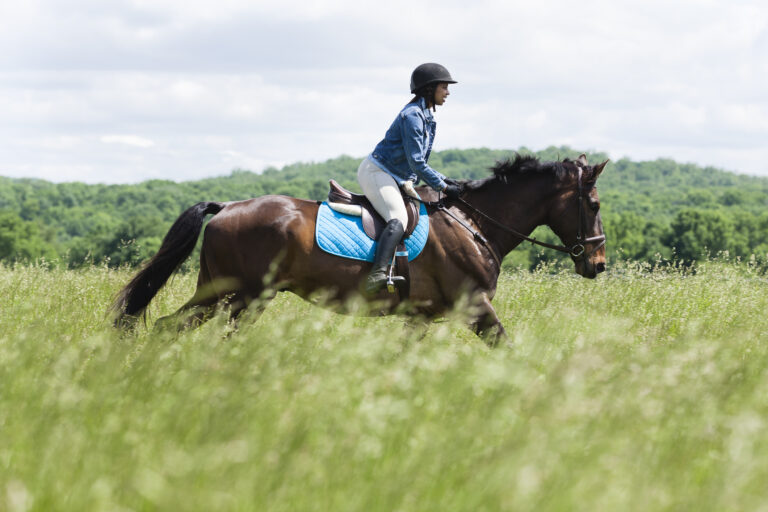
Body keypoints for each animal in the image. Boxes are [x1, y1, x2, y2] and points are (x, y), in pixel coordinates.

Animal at [111, 153, 608, 344]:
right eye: (594, 204)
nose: (598, 264)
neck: (474, 224)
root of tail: (227, 206)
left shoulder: (420, 318)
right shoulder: (476, 307)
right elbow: (507, 346)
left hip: (228, 295)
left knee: (171, 327)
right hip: (237, 295)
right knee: (171, 327)